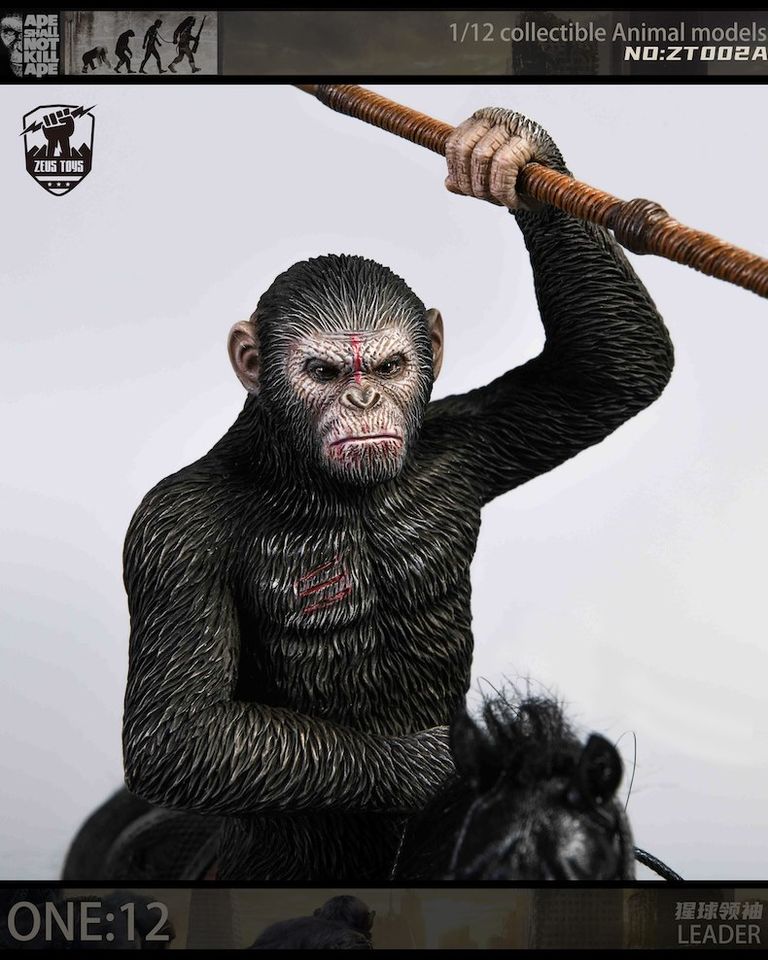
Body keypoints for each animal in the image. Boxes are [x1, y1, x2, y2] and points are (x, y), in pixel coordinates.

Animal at [120, 107, 674, 881]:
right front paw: (436, 767)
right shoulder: (171, 532)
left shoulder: (469, 437)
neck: (314, 484)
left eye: (389, 365)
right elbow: (177, 734)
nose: (362, 399)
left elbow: (612, 372)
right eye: (323, 372)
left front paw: (508, 147)